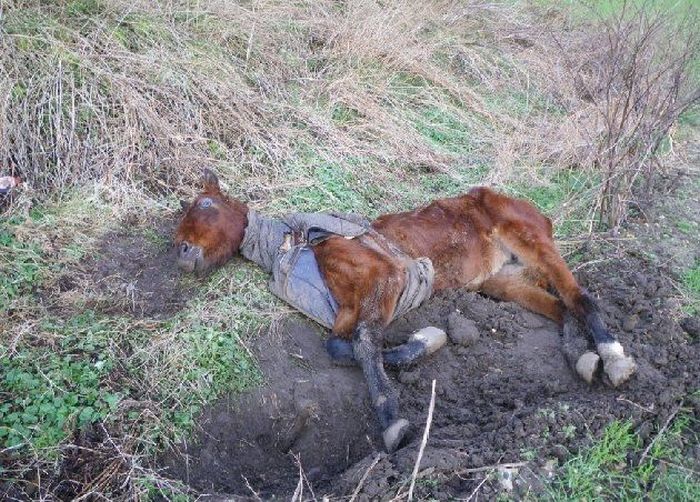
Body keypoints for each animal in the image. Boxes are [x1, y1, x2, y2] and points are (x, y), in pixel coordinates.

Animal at [174, 169, 636, 452]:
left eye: (205, 206)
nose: (181, 252)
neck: (301, 246)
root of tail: (531, 208)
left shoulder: (387, 277)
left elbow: (364, 342)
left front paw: (392, 420)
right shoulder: (346, 309)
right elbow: (340, 346)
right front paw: (424, 342)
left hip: (531, 240)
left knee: (581, 297)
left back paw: (613, 356)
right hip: (502, 278)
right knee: (562, 307)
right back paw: (581, 355)